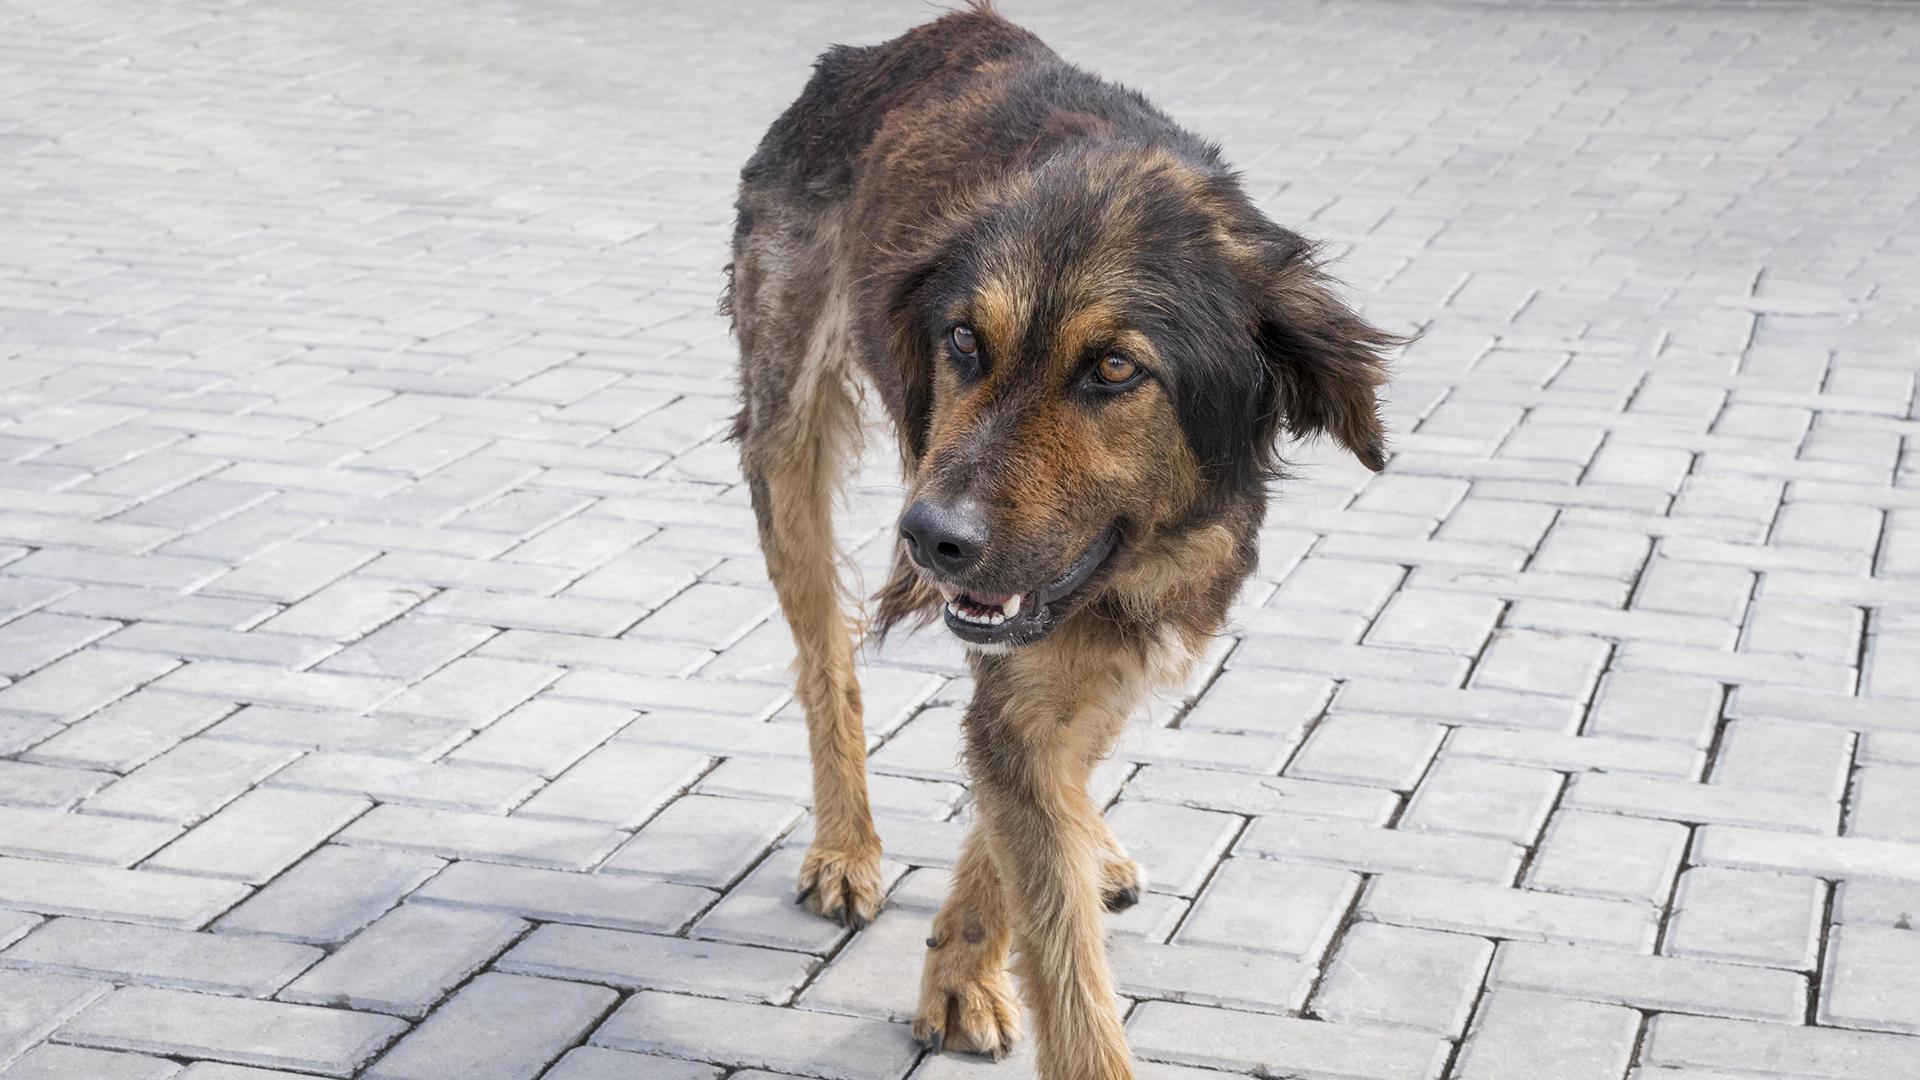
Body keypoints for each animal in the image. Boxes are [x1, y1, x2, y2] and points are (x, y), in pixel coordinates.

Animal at [725, 4, 1405, 1068]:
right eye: (964, 341)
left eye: (1116, 369)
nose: (930, 538)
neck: (1142, 548)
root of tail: (884, 47)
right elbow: (1064, 954)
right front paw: (975, 972)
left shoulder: (1135, 628)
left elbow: (1035, 819)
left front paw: (966, 959)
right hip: (787, 433)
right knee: (824, 654)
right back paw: (846, 846)